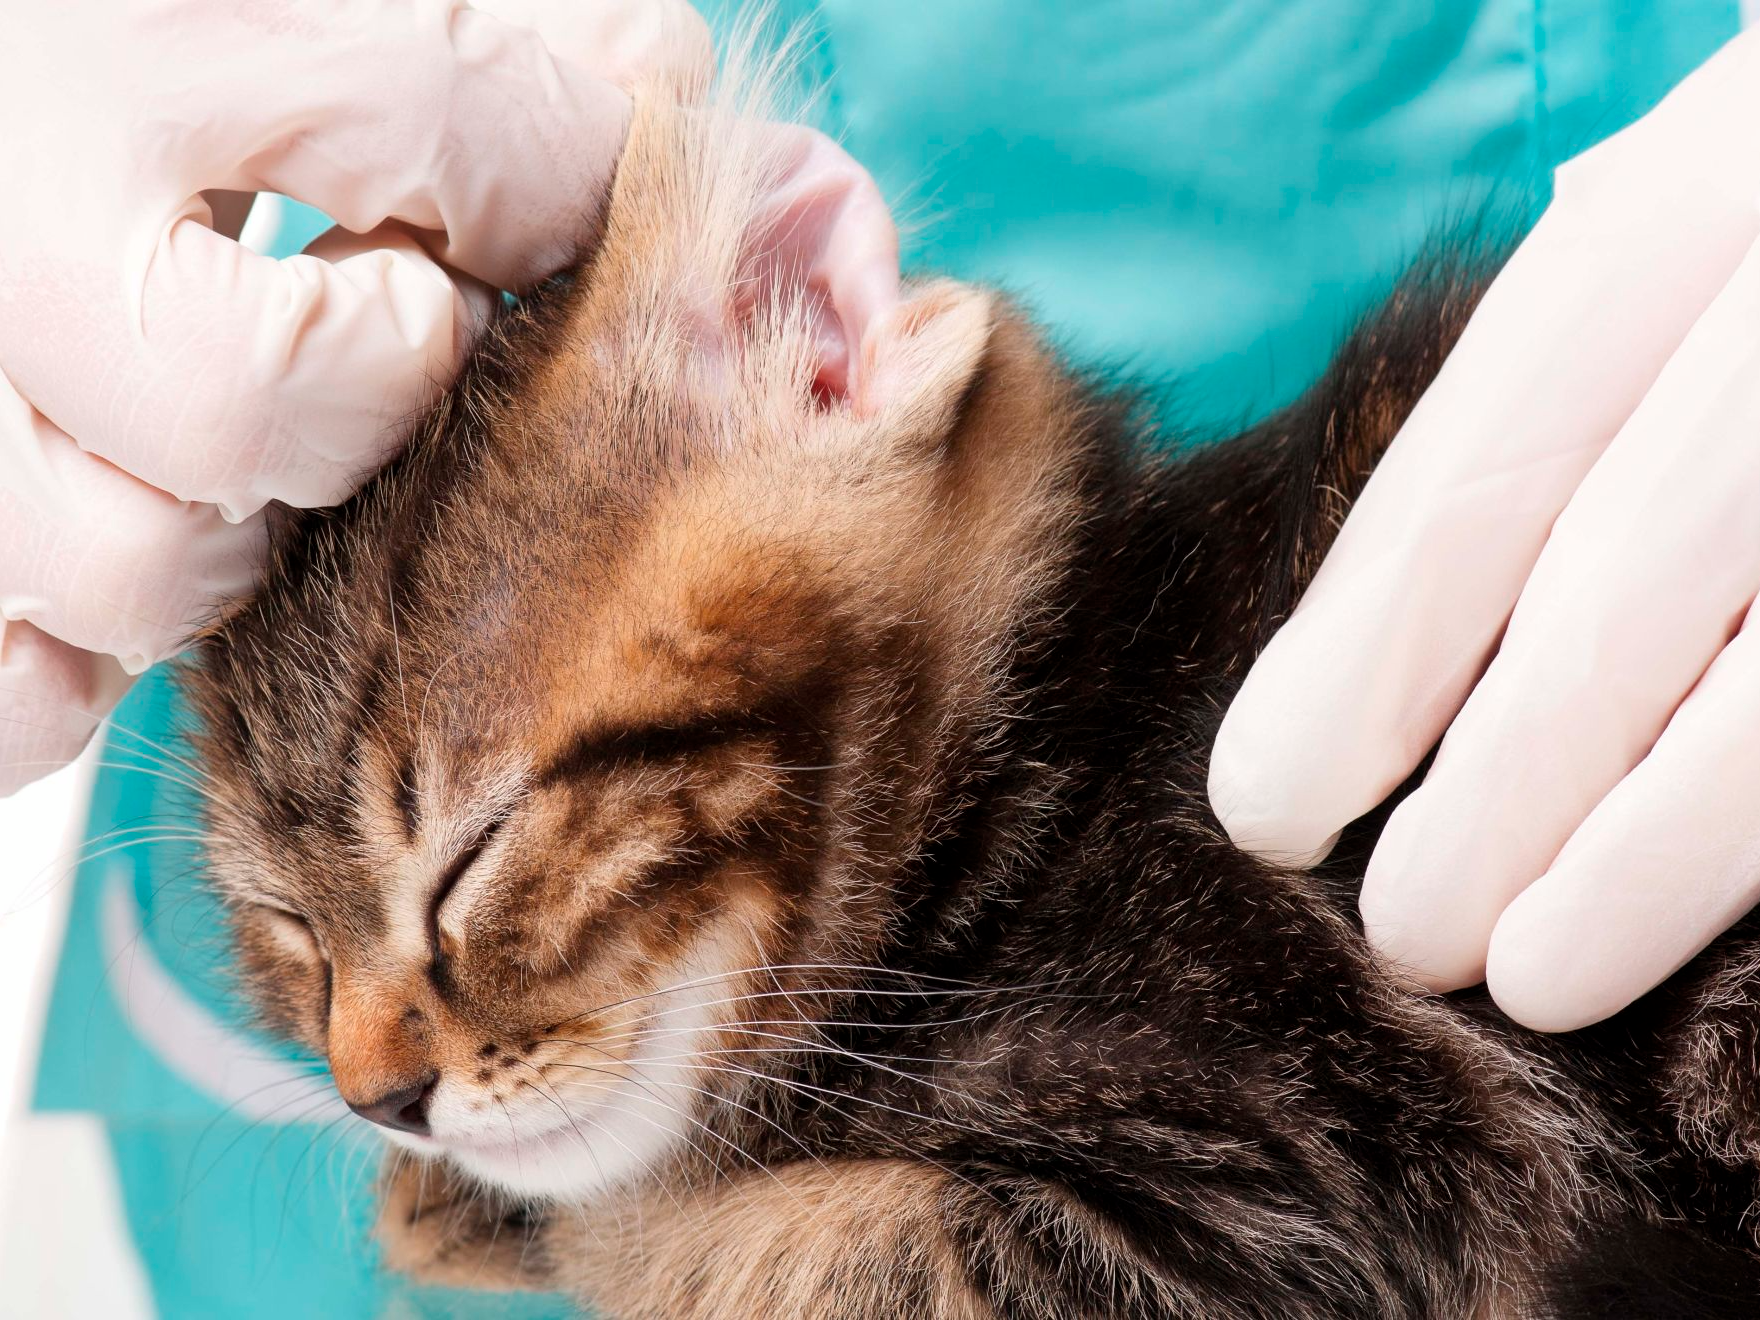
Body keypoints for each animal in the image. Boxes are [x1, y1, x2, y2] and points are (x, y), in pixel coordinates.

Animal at [192, 80, 1760, 1320]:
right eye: (288, 931)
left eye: (475, 853)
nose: (375, 1098)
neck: (1046, 766)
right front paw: (465, 1198)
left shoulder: (1294, 1185)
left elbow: (719, 1248)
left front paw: (535, 1216)